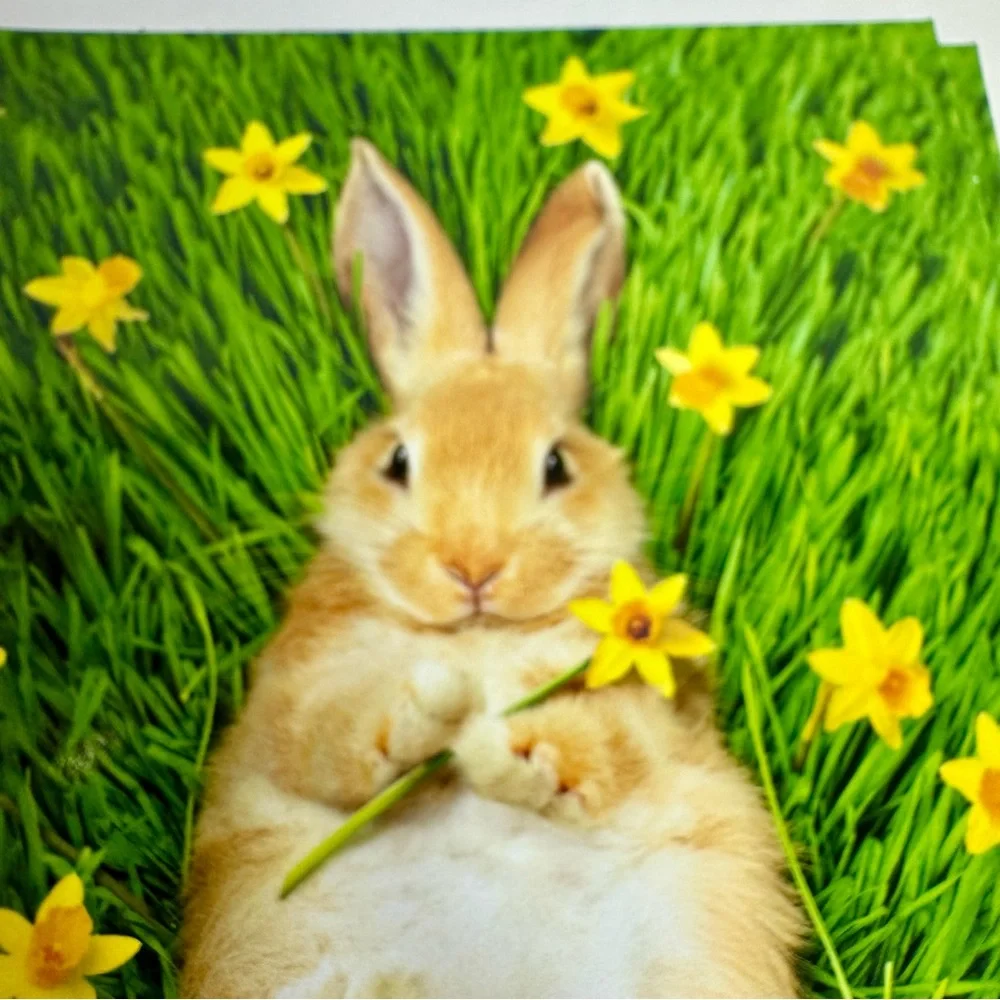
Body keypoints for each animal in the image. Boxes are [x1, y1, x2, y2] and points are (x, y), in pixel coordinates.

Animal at [180, 139, 802, 999]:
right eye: (397, 460)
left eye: (558, 465)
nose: (473, 568)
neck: (477, 636)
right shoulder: (295, 696)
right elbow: (331, 739)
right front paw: (428, 710)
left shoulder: (649, 712)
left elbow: (605, 746)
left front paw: (510, 744)